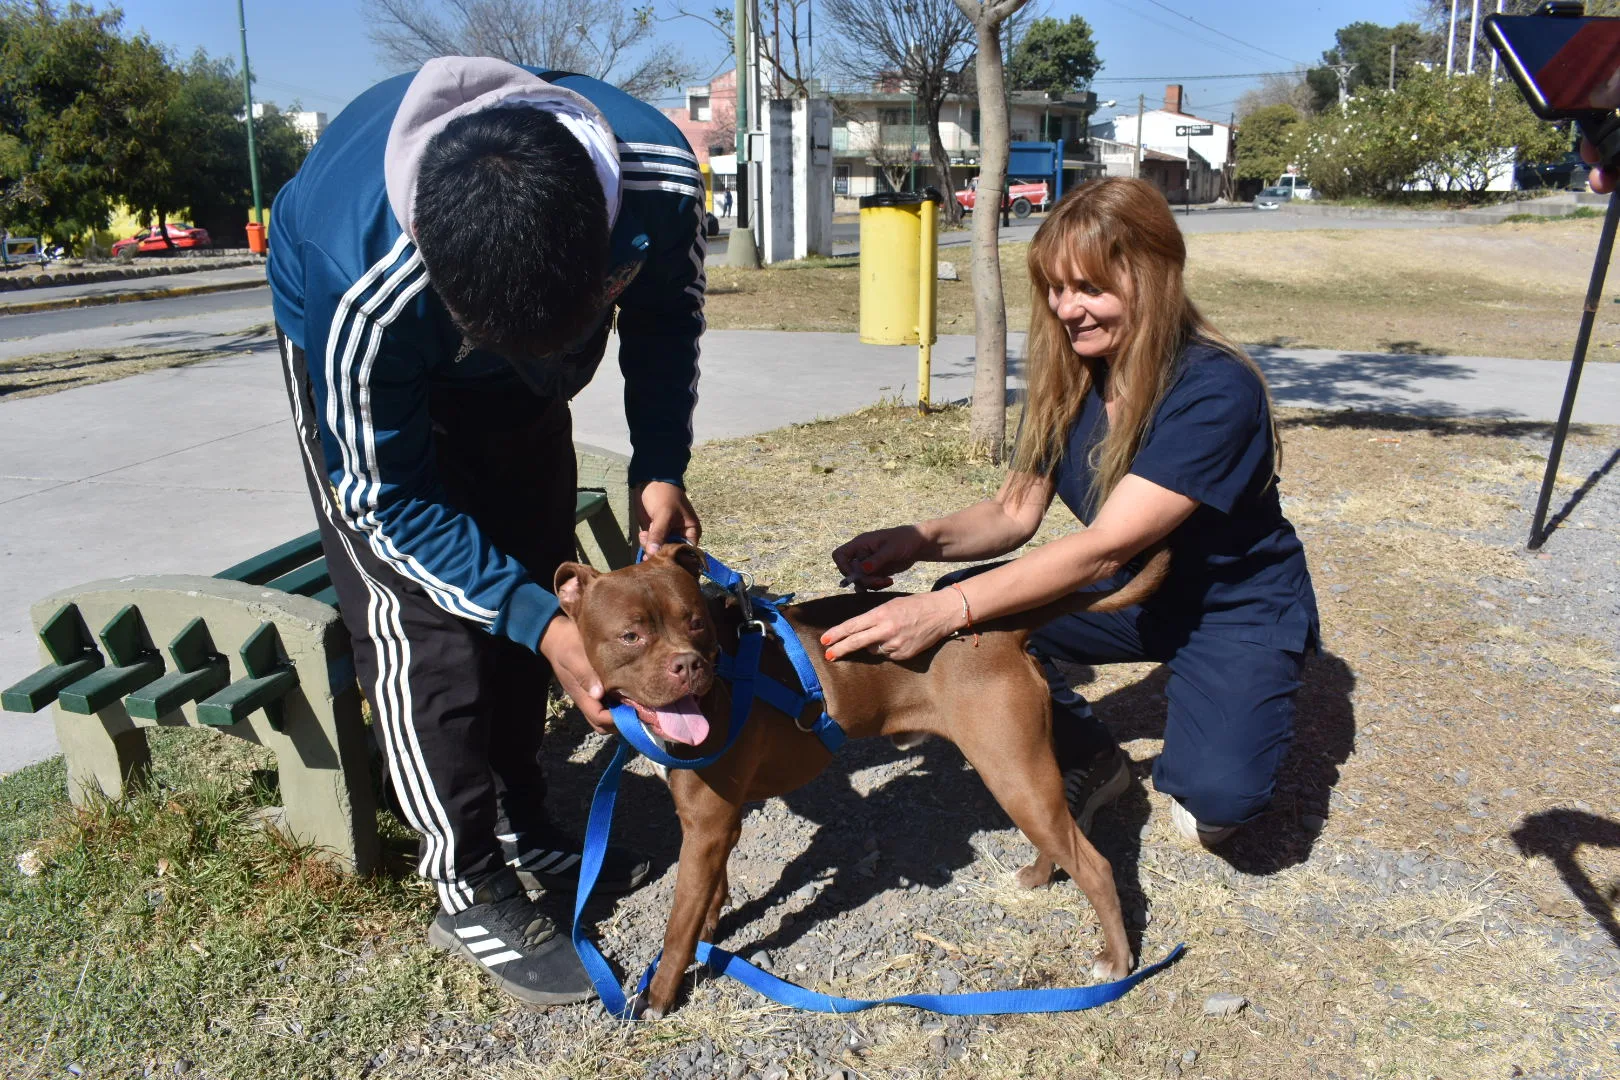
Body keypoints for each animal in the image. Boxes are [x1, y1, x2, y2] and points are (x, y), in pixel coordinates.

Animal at [557, 544, 1166, 1016]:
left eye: (695, 623)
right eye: (631, 636)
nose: (689, 665)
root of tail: (999, 628)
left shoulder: (706, 826)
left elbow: (677, 923)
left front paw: (660, 993)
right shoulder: (714, 824)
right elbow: (709, 896)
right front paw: (711, 931)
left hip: (1011, 771)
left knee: (1096, 864)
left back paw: (1117, 961)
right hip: (1022, 775)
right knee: (1060, 836)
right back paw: (1040, 875)